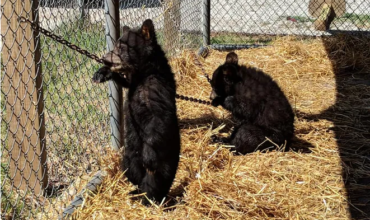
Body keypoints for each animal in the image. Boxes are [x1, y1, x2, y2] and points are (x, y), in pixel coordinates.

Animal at [92, 19, 180, 205]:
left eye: (121, 47)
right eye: (116, 45)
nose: (105, 58)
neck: (143, 74)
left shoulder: (157, 89)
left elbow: (159, 119)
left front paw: (148, 157)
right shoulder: (133, 83)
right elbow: (124, 82)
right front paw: (101, 73)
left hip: (164, 162)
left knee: (154, 180)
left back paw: (148, 199)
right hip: (129, 155)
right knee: (131, 170)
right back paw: (135, 192)